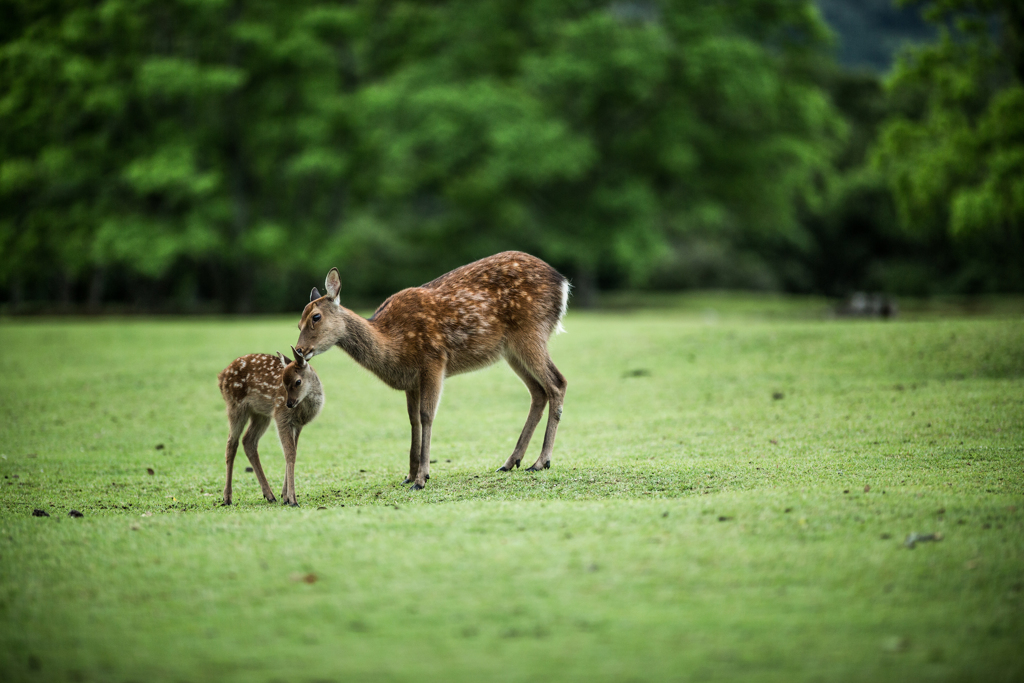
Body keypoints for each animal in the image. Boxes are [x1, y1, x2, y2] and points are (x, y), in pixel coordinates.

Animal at [294, 249, 569, 485]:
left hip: (530, 331)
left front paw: (422, 477)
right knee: (538, 391)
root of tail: (563, 283)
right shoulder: (411, 381)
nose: (299, 350)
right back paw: (511, 461)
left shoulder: (434, 361)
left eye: (316, 317)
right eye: (298, 322)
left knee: (557, 383)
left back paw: (541, 461)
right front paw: (408, 475)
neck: (393, 345)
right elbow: (413, 420)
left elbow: (427, 416)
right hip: (510, 350)